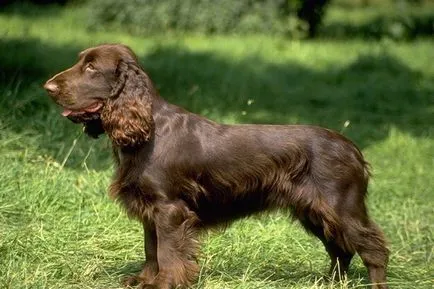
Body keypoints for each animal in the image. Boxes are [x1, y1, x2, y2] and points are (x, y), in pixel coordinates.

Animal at [44, 44, 390, 286]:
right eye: (81, 62)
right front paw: (143, 280)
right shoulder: (149, 210)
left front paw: (163, 283)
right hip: (314, 211)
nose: (48, 87)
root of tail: (353, 148)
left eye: (91, 67)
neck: (148, 130)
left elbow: (167, 252)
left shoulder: (170, 209)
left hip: (341, 207)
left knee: (373, 250)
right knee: (340, 249)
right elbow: (150, 248)